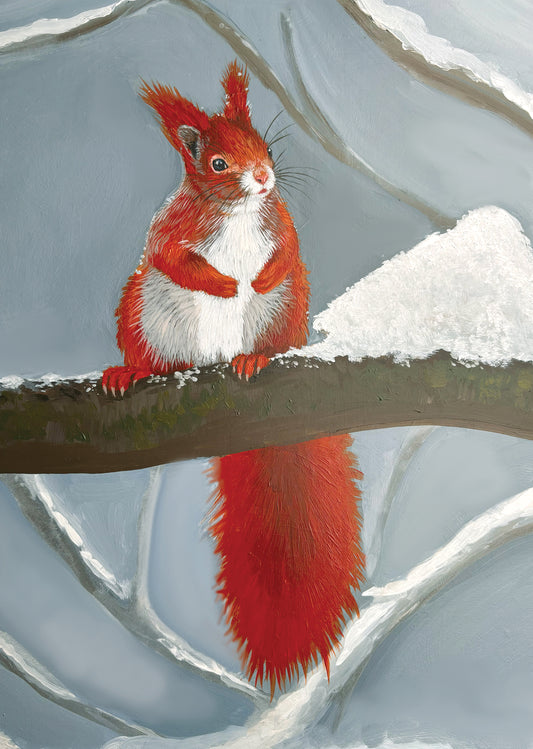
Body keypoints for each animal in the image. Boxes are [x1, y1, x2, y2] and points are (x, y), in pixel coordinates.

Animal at [102, 61, 364, 696]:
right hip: (140, 310)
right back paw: (133, 369)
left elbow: (287, 248)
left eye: (266, 147)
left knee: (272, 323)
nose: (266, 177)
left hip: (285, 312)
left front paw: (254, 277)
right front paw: (221, 283)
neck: (241, 212)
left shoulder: (283, 225)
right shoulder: (167, 231)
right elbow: (170, 256)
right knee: (156, 349)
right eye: (219, 164)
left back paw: (254, 359)